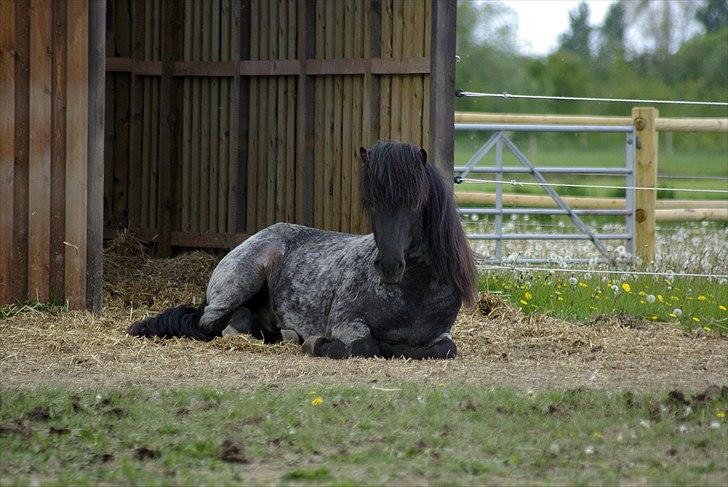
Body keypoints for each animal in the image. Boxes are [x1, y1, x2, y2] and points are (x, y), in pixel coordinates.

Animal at [127, 139, 474, 360]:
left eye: (415, 203)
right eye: (371, 204)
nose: (389, 266)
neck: (411, 294)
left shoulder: (442, 334)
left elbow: (444, 350)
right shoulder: (346, 322)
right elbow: (367, 346)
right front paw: (320, 344)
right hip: (242, 281)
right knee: (212, 324)